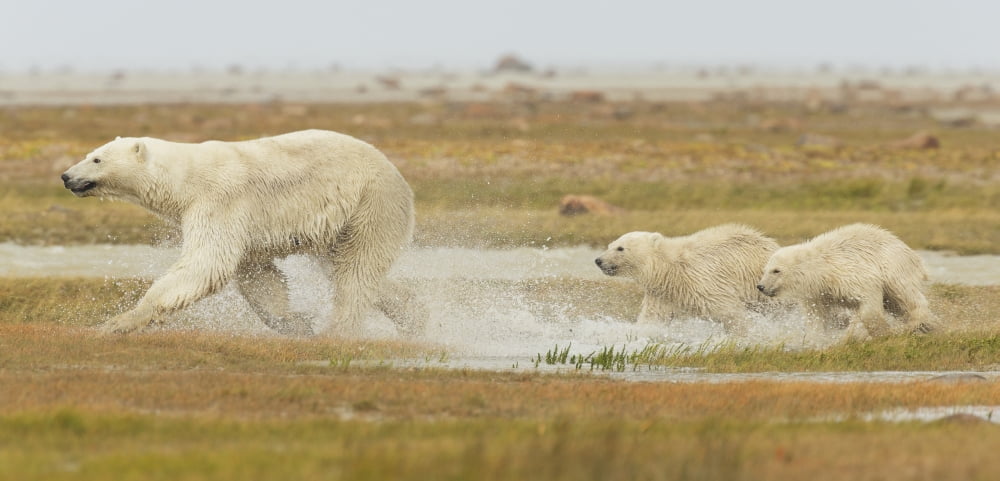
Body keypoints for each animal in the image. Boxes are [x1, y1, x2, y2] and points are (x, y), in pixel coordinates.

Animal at [60, 129, 427, 337]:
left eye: (96, 159)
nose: (66, 176)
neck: (185, 178)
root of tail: (398, 175)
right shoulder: (242, 224)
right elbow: (257, 275)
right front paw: (294, 323)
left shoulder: (220, 201)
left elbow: (207, 264)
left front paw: (118, 322)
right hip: (343, 224)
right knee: (351, 270)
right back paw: (413, 318)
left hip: (371, 203)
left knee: (357, 269)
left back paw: (338, 332)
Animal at [594, 224, 779, 332]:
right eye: (610, 245)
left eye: (620, 248)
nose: (599, 260)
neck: (670, 270)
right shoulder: (664, 294)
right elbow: (653, 318)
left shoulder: (703, 281)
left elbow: (729, 312)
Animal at [756, 223, 936, 340]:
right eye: (765, 270)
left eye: (776, 270)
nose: (761, 286)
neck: (821, 270)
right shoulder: (817, 293)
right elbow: (816, 316)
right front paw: (814, 339)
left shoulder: (846, 273)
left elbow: (868, 296)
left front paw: (882, 332)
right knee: (896, 304)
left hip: (893, 265)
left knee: (905, 294)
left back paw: (920, 323)